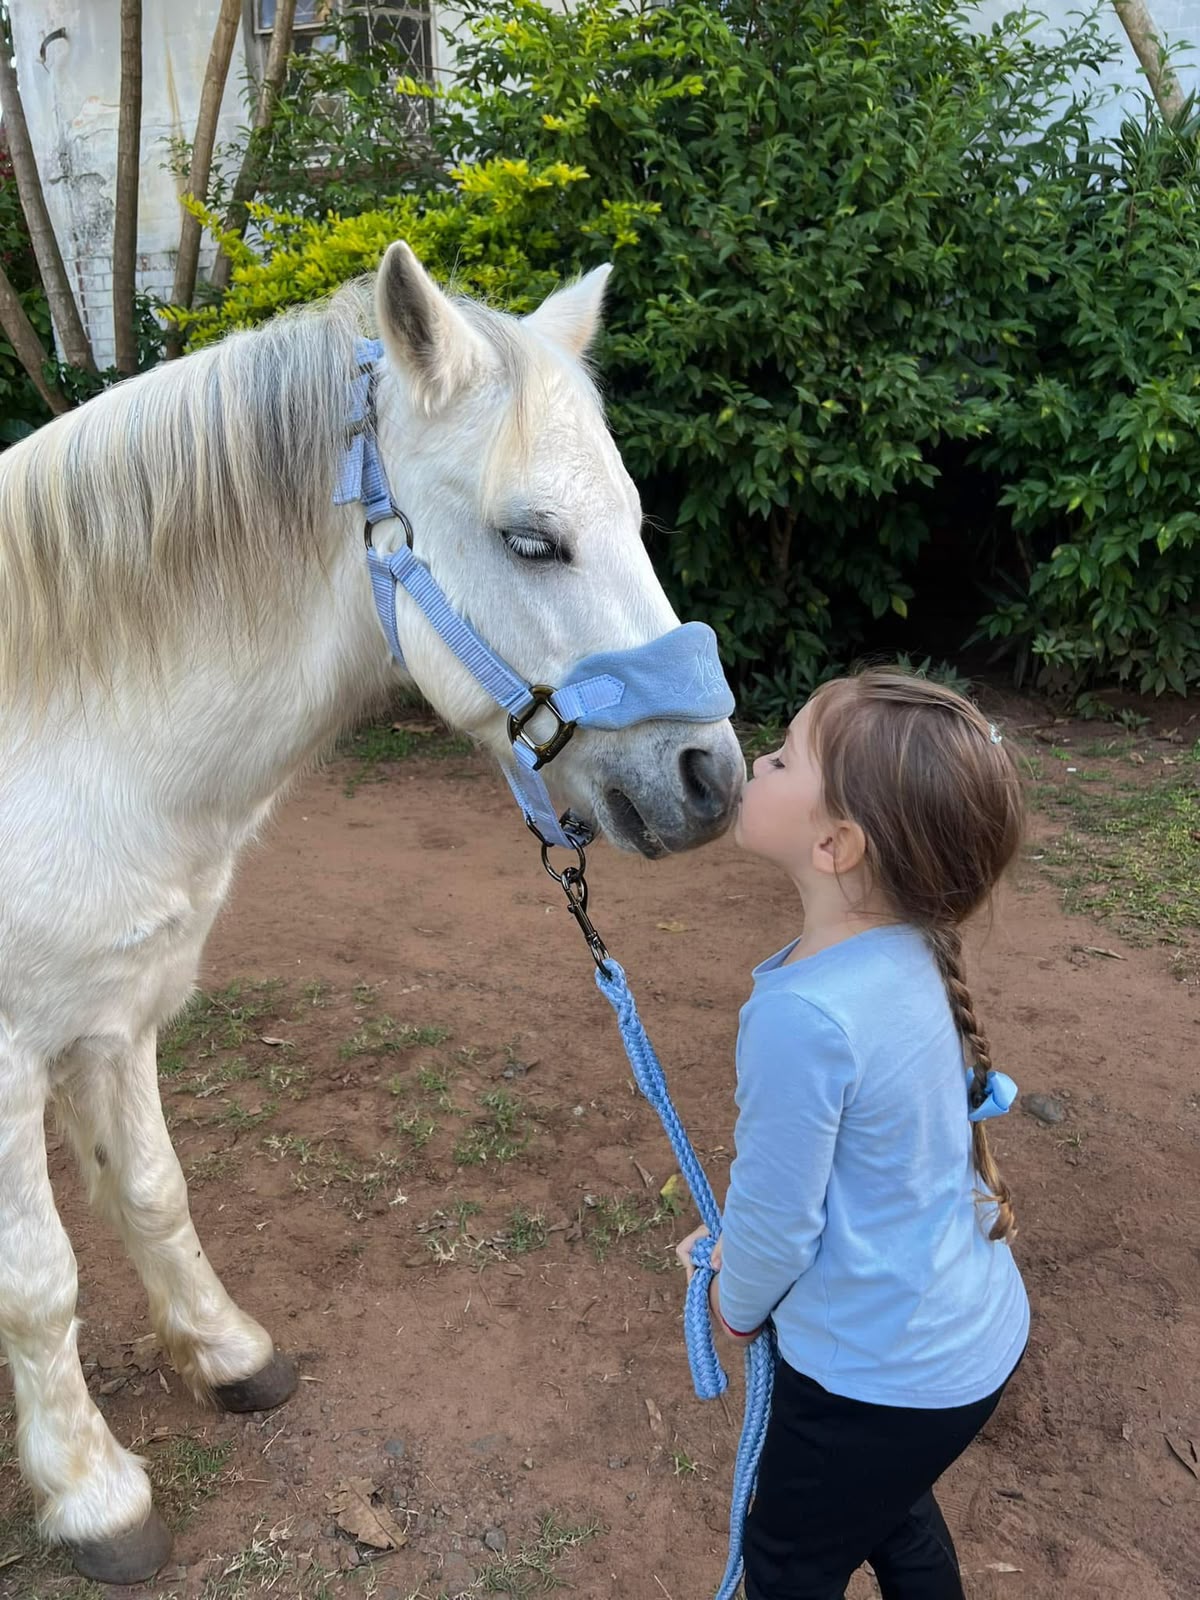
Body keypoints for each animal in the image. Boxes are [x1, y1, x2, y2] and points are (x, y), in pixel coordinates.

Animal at [0, 242, 743, 1582]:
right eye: (532, 539)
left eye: (633, 519)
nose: (711, 776)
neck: (62, 741)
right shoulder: (9, 1058)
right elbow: (39, 1279)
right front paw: (92, 1493)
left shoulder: (116, 1014)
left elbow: (152, 1191)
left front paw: (225, 1352)